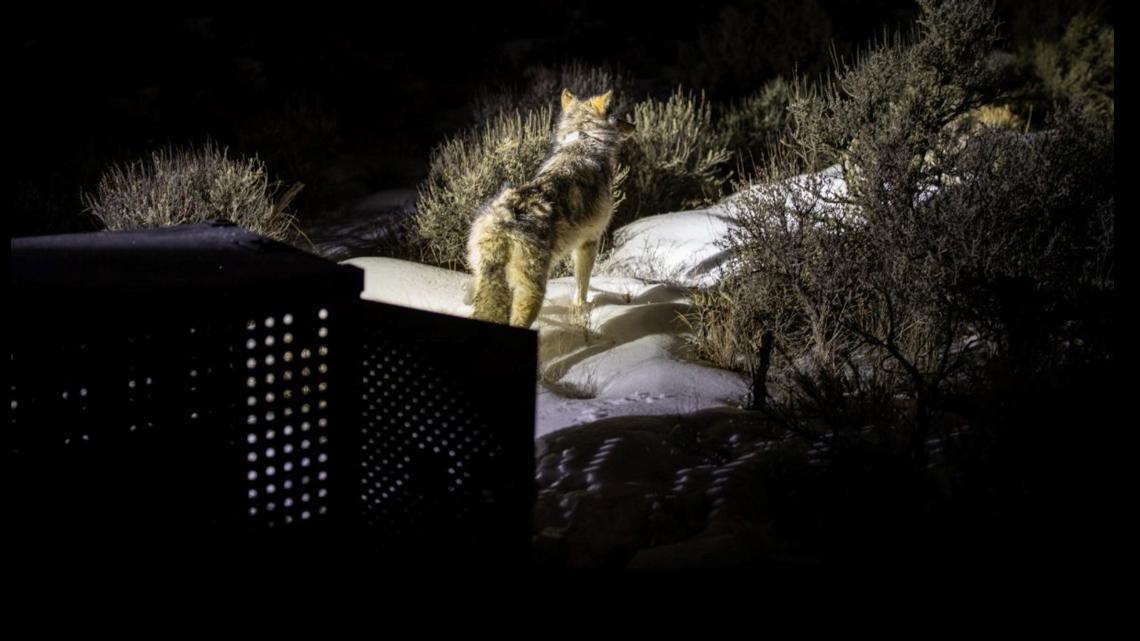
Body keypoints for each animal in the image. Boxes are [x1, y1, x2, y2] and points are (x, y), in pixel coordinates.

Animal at [467, 88, 635, 328]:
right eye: (617, 115)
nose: (634, 126)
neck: (584, 140)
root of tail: (503, 221)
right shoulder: (589, 242)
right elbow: (581, 287)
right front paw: (582, 312)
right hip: (532, 293)